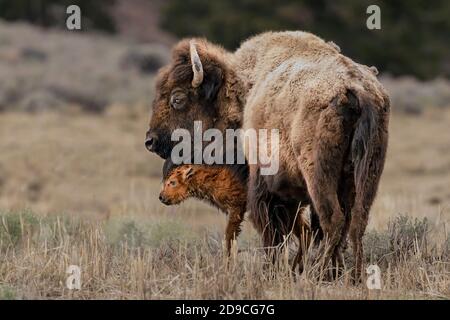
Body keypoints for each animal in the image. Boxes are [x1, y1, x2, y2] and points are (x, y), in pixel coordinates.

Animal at [146, 30, 388, 280]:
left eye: (177, 99)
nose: (151, 141)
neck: (241, 93)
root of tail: (355, 90)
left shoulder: (264, 189)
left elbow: (273, 235)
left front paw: (273, 272)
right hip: (366, 174)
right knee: (356, 221)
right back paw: (354, 275)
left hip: (319, 177)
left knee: (333, 220)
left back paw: (317, 273)